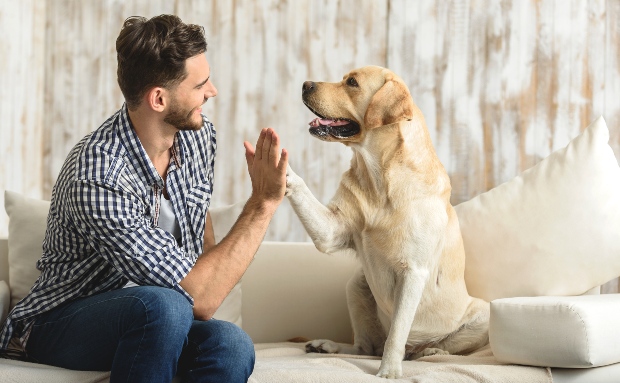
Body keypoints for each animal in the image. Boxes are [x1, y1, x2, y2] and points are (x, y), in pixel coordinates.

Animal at [286, 65, 490, 378]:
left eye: (352, 83)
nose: (306, 84)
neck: (380, 177)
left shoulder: (413, 272)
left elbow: (397, 333)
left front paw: (389, 371)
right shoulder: (331, 231)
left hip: (483, 315)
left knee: (429, 347)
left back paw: (429, 351)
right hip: (356, 285)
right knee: (365, 347)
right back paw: (327, 346)